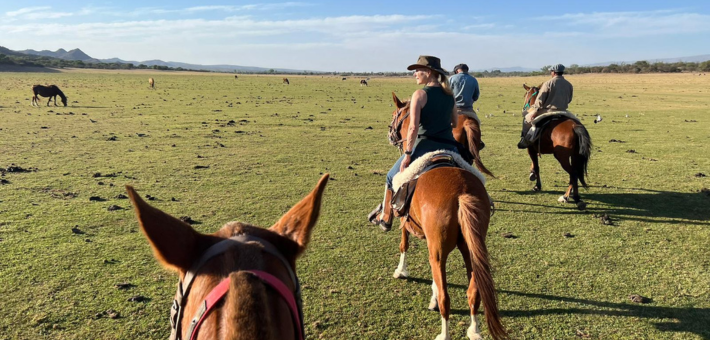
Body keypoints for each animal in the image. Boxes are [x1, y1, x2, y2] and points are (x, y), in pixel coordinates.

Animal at [386, 93, 508, 340]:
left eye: (396, 114)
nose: (390, 133)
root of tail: (461, 193)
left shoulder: (406, 221)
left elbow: (404, 245)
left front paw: (401, 271)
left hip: (440, 251)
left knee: (446, 298)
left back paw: (444, 333)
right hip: (471, 248)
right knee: (473, 292)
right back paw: (474, 330)